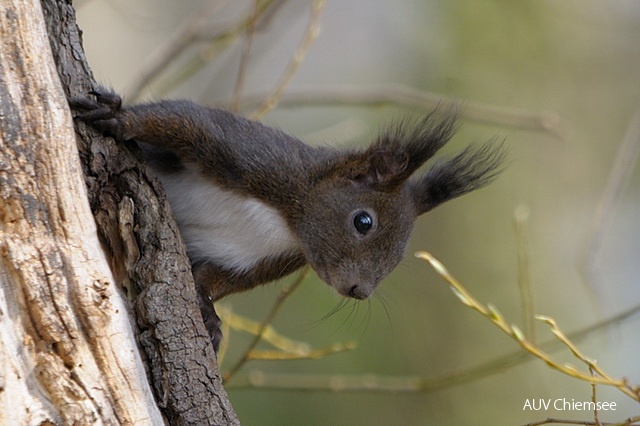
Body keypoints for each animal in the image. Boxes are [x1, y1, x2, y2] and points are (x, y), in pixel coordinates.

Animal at [70, 89, 504, 350]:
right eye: (363, 222)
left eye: (399, 257)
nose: (359, 291)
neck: (289, 218)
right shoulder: (255, 156)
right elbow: (182, 120)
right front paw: (118, 117)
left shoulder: (269, 260)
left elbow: (215, 279)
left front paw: (208, 315)